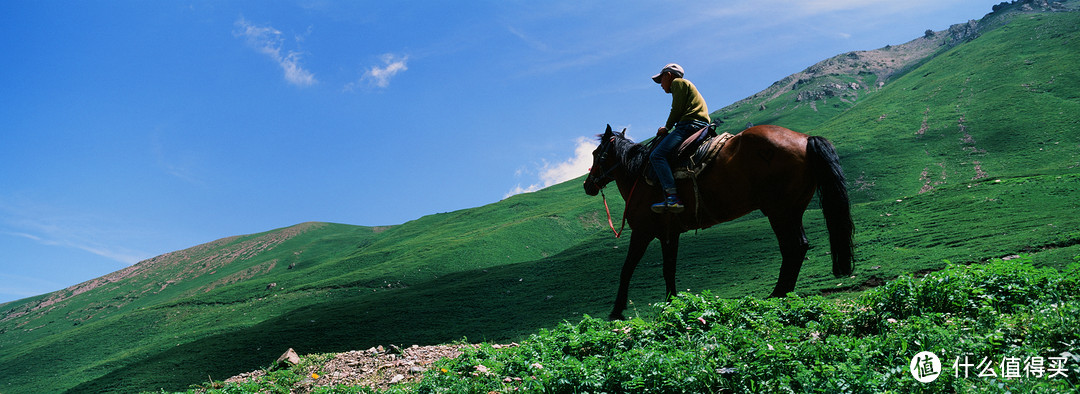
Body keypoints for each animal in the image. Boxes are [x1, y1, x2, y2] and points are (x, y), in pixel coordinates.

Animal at [583, 125, 851, 319]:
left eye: (596, 154)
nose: (587, 185)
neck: (638, 175)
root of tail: (805, 139)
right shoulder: (670, 234)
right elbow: (669, 269)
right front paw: (672, 304)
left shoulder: (642, 232)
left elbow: (627, 269)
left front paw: (616, 311)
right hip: (792, 210)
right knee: (800, 246)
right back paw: (783, 294)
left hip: (779, 211)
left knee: (792, 247)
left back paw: (777, 294)